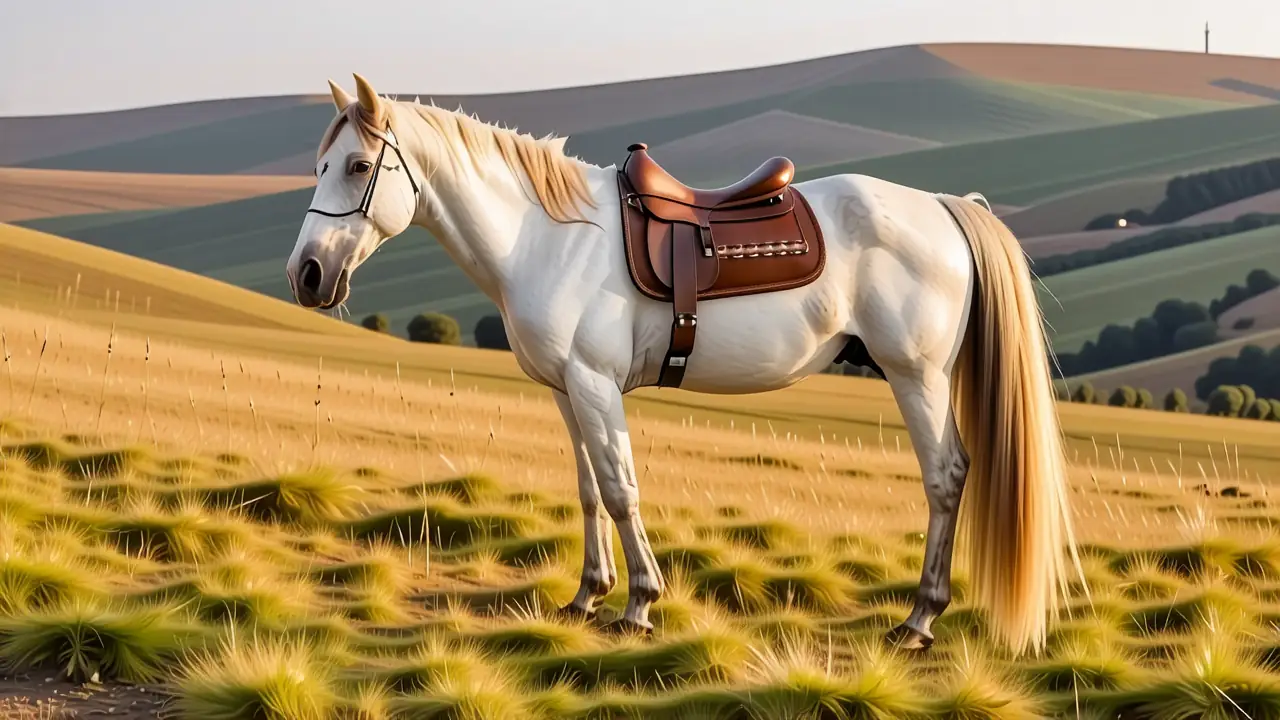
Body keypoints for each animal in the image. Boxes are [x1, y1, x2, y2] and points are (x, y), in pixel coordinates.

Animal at [286, 73, 1084, 656]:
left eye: (358, 165)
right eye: (319, 164)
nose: (307, 275)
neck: (546, 237)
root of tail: (947, 206)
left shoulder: (596, 386)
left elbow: (621, 489)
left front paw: (638, 604)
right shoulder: (566, 391)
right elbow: (587, 491)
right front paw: (587, 593)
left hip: (917, 376)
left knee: (946, 478)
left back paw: (919, 620)